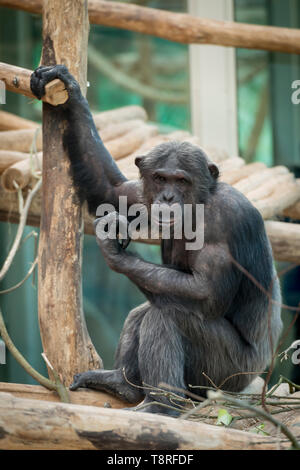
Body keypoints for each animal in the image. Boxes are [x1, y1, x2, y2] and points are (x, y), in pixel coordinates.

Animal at [31, 65, 284, 414]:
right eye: (161, 178)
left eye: (182, 181)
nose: (167, 197)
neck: (200, 203)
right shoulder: (140, 192)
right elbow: (114, 190)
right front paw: (69, 92)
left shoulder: (226, 222)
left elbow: (205, 292)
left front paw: (117, 251)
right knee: (146, 309)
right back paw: (121, 383)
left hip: (225, 374)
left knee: (168, 315)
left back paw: (160, 406)